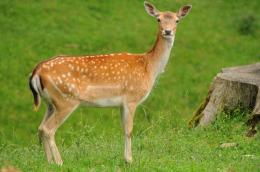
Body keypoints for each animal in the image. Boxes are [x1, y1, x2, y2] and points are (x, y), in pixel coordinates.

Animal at [29, 1, 191, 165]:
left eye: (177, 20)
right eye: (158, 19)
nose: (168, 31)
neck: (149, 67)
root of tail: (37, 71)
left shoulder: (121, 103)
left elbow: (123, 129)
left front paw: (125, 159)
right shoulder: (131, 99)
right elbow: (129, 130)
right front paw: (130, 160)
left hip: (51, 103)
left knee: (41, 127)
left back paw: (49, 162)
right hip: (65, 100)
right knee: (49, 129)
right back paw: (59, 162)